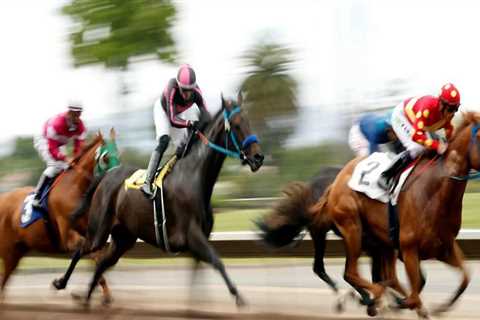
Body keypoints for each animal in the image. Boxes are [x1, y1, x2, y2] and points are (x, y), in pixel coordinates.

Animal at [0, 129, 119, 302]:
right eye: (106, 157)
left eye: (119, 154)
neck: (76, 188)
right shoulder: (68, 236)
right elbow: (85, 253)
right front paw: (61, 283)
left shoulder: (89, 231)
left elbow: (96, 257)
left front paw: (103, 294)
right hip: (8, 251)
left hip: (16, 251)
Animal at [54, 92, 264, 304]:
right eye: (236, 125)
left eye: (248, 121)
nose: (258, 157)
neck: (194, 177)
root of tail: (106, 175)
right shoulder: (193, 235)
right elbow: (217, 261)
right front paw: (238, 296)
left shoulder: (199, 242)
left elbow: (197, 274)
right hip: (98, 231)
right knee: (82, 250)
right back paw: (61, 283)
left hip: (124, 237)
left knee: (102, 263)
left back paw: (87, 299)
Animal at [308, 112, 480, 318]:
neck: (435, 192)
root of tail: (334, 183)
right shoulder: (409, 249)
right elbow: (414, 293)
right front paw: (394, 302)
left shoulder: (443, 247)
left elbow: (465, 278)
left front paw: (439, 308)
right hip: (352, 228)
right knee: (351, 273)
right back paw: (372, 298)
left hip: (382, 243)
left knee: (385, 278)